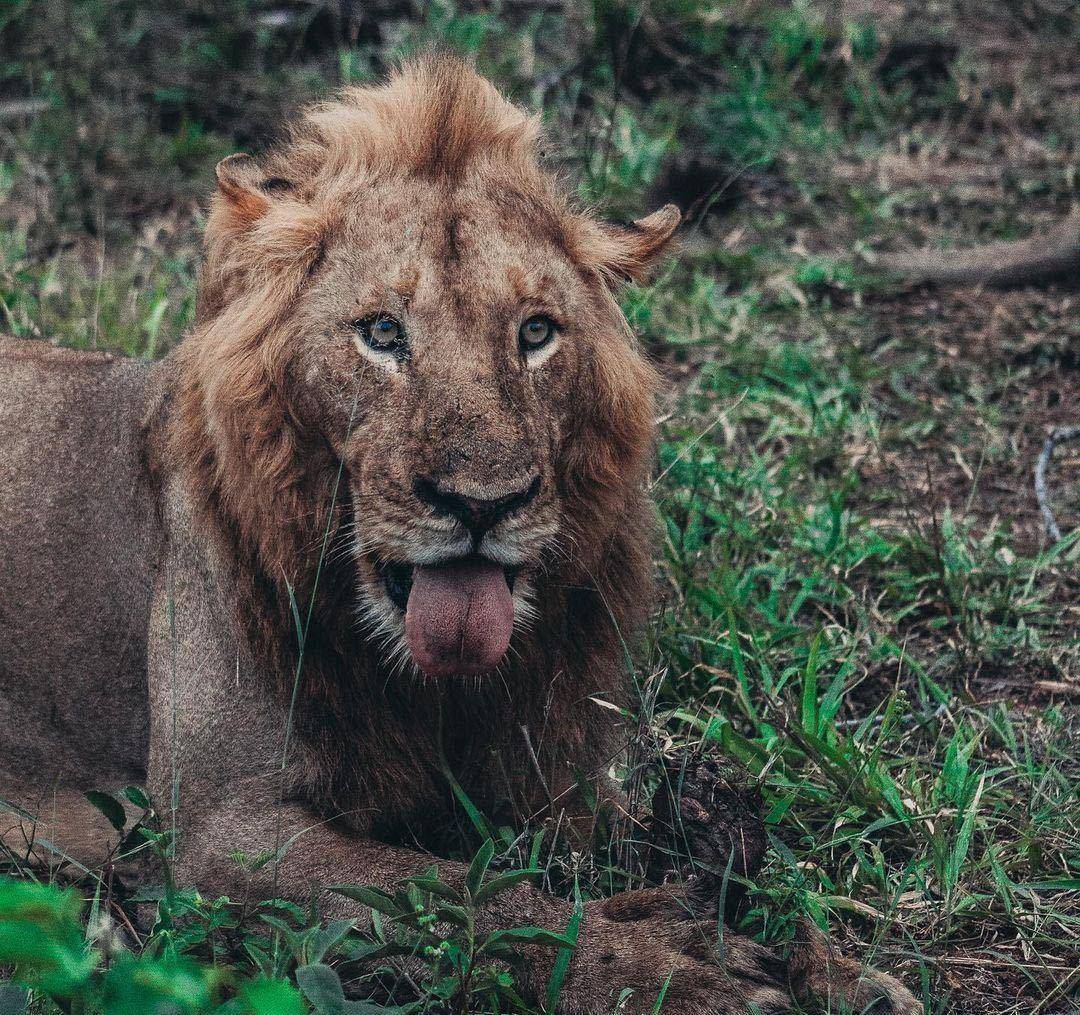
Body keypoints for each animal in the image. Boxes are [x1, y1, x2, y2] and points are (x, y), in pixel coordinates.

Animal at [0, 57, 920, 1015]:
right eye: (381, 333)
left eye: (536, 332)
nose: (483, 505)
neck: (438, 689)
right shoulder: (217, 830)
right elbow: (458, 893)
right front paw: (672, 969)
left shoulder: (555, 779)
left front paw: (828, 964)